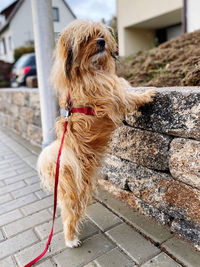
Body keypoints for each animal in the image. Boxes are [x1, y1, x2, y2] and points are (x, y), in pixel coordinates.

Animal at [37, 19, 155, 249]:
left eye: (100, 34)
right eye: (86, 38)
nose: (101, 42)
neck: (88, 70)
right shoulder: (111, 92)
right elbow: (128, 96)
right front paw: (147, 94)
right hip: (76, 191)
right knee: (69, 215)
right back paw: (71, 239)